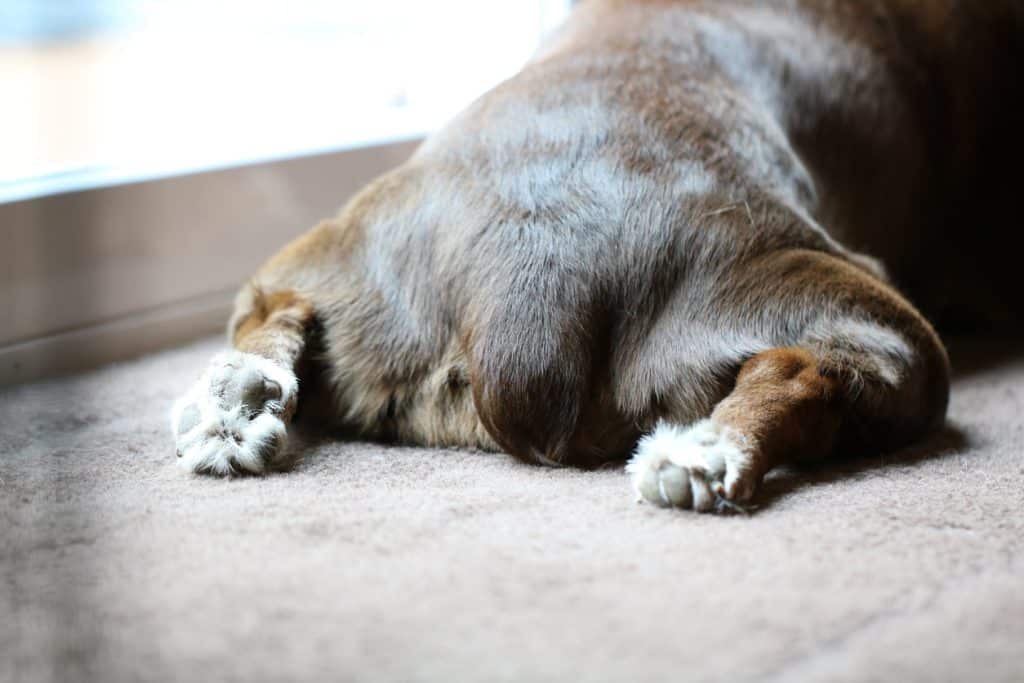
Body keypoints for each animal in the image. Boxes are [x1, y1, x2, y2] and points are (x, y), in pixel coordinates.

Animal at [169, 1, 1024, 511]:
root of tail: (519, 303)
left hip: (344, 257)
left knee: (271, 307)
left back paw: (237, 403)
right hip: (853, 304)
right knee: (813, 370)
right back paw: (707, 458)